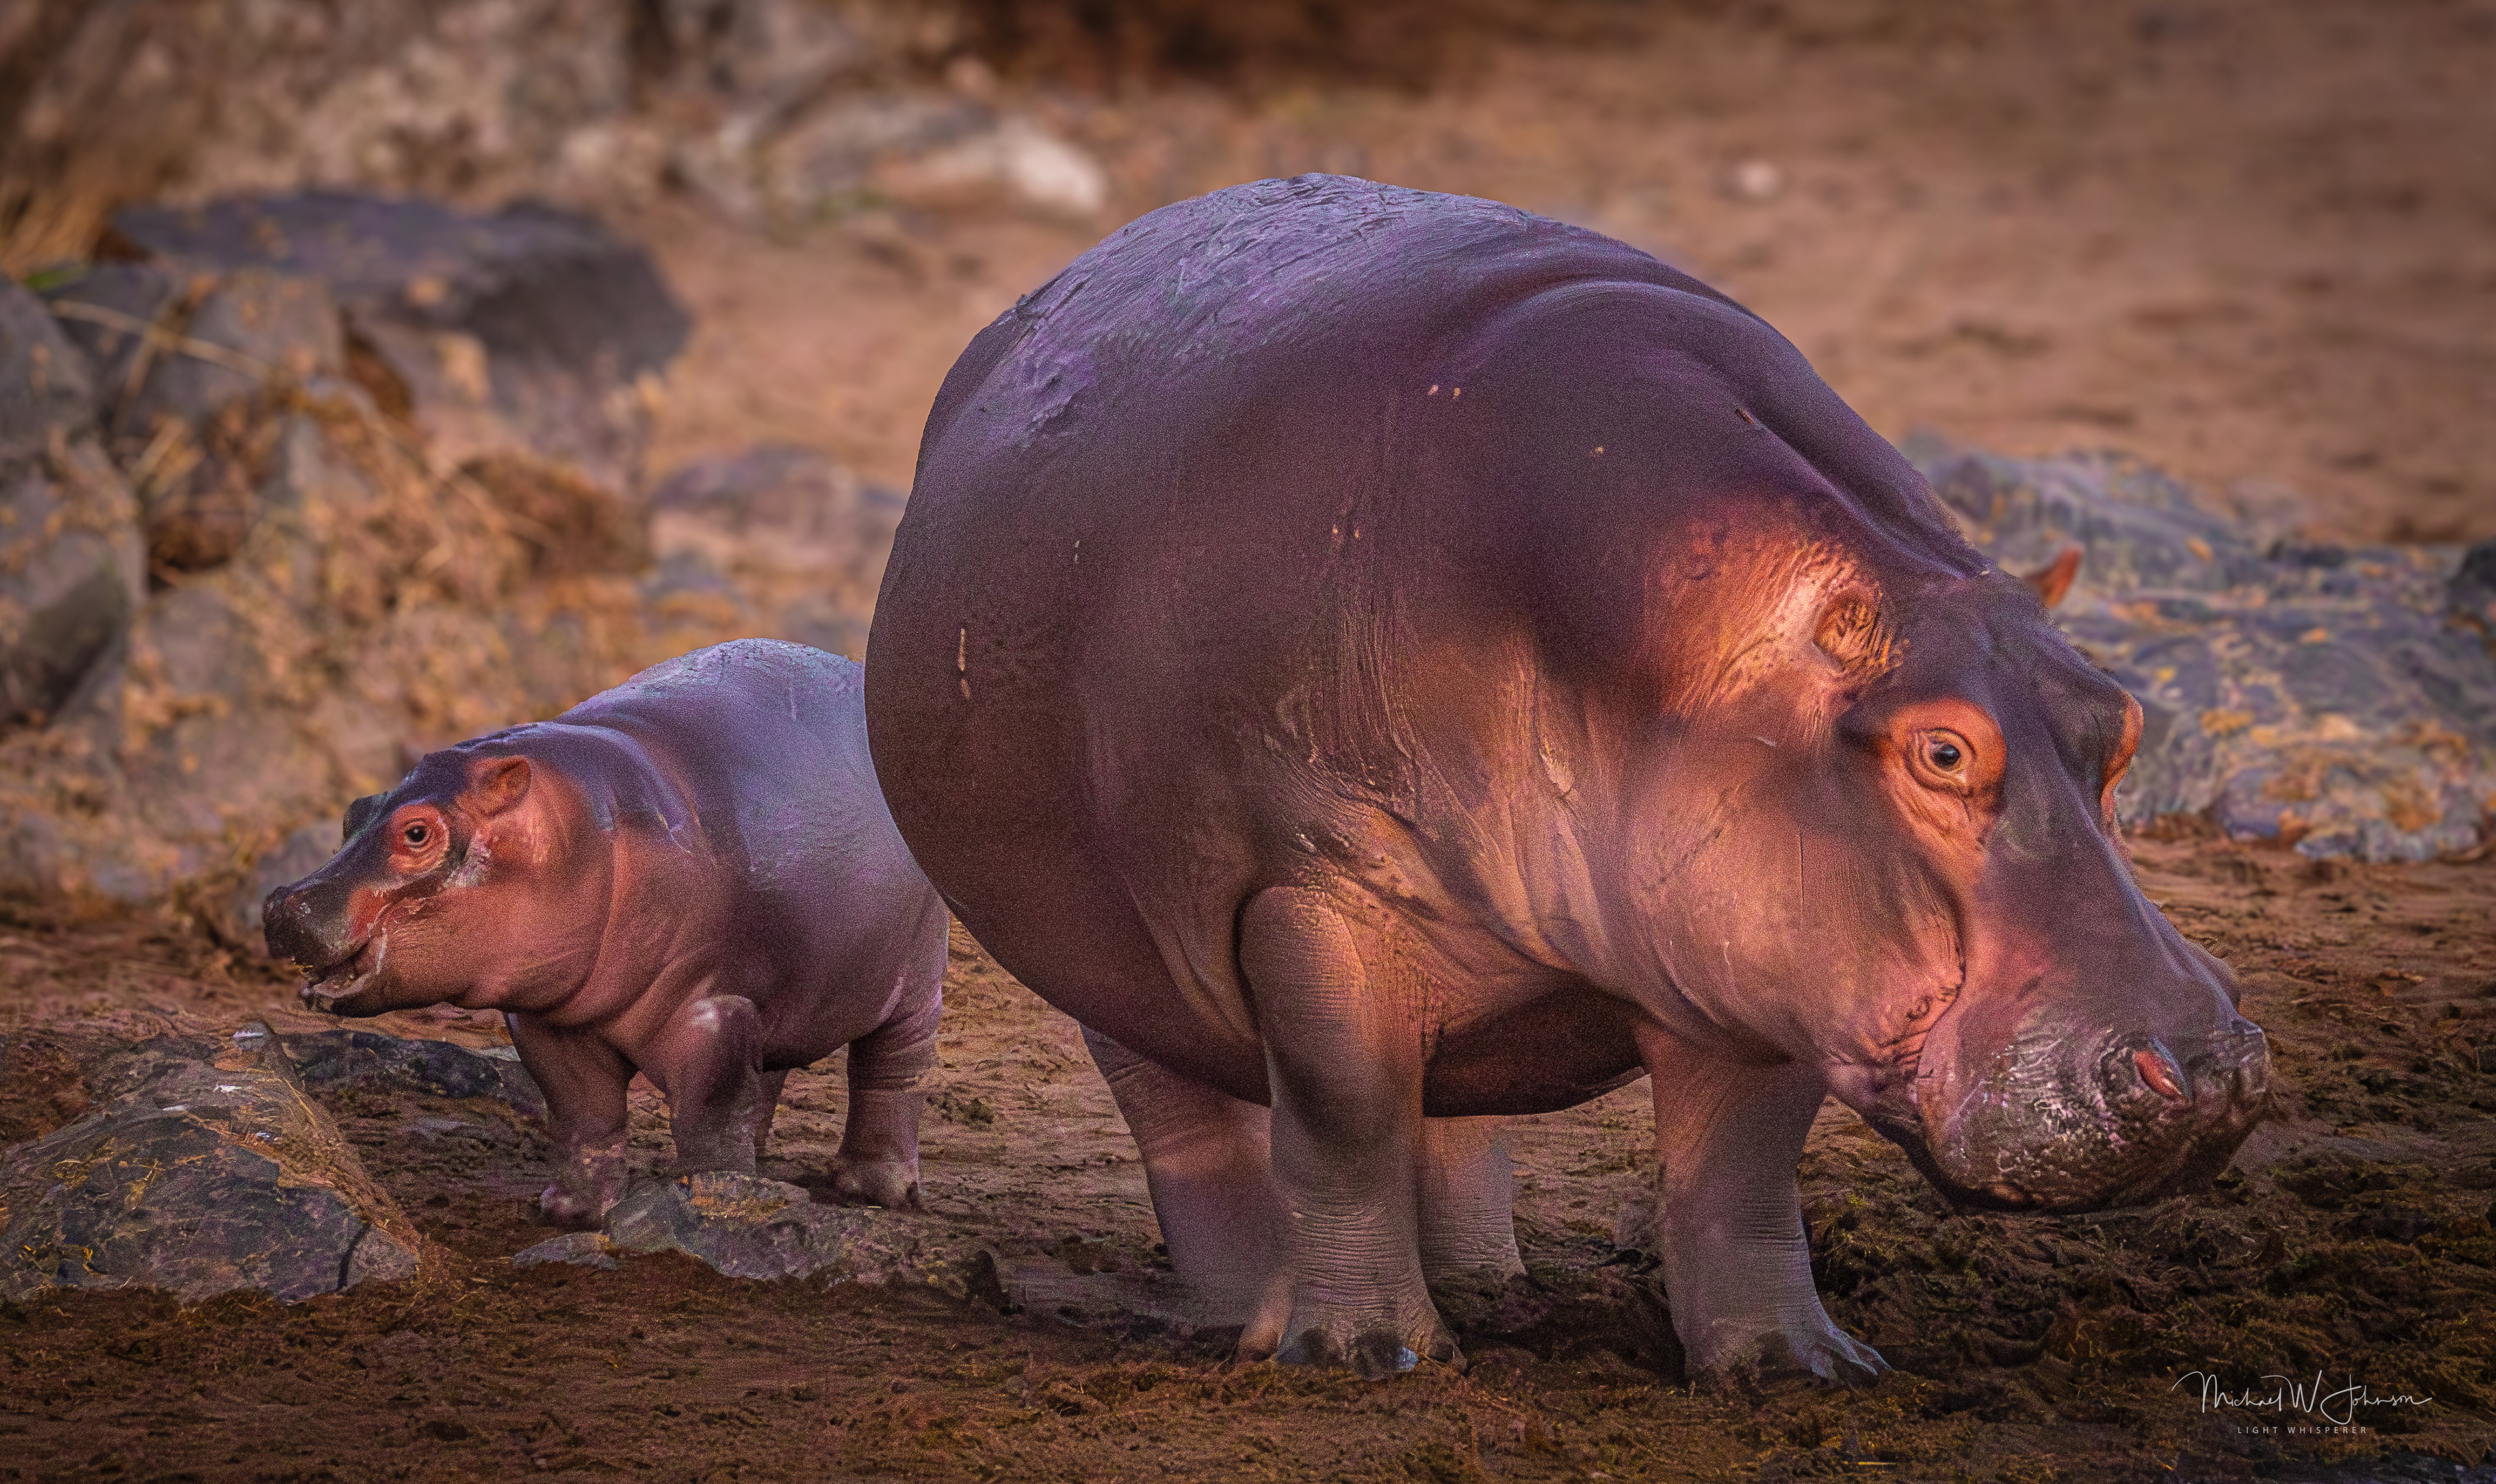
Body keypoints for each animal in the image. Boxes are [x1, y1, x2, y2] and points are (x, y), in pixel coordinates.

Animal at [265, 639, 949, 1224]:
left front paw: (717, 1201)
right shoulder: (553, 1023)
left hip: (916, 981)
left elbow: (709, 1120)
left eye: (416, 832)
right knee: (771, 1073)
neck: (575, 831)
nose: (282, 901)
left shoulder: (715, 1009)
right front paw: (571, 1214)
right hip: (783, 992)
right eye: (354, 810)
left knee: (892, 1072)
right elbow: (583, 1118)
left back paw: (876, 1191)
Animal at [864, 176, 2271, 1381]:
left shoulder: (1759, 959)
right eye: (1941, 748)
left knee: (1459, 1105)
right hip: (1108, 959)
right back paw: (1246, 1312)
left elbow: (1737, 1174)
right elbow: (1343, 1116)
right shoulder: (1310, 891)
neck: (1664, 650)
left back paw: (1488, 1289)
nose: (2207, 1071)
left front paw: (1800, 1367)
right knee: (1191, 1118)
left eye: (2121, 719)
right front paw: (1367, 1353)